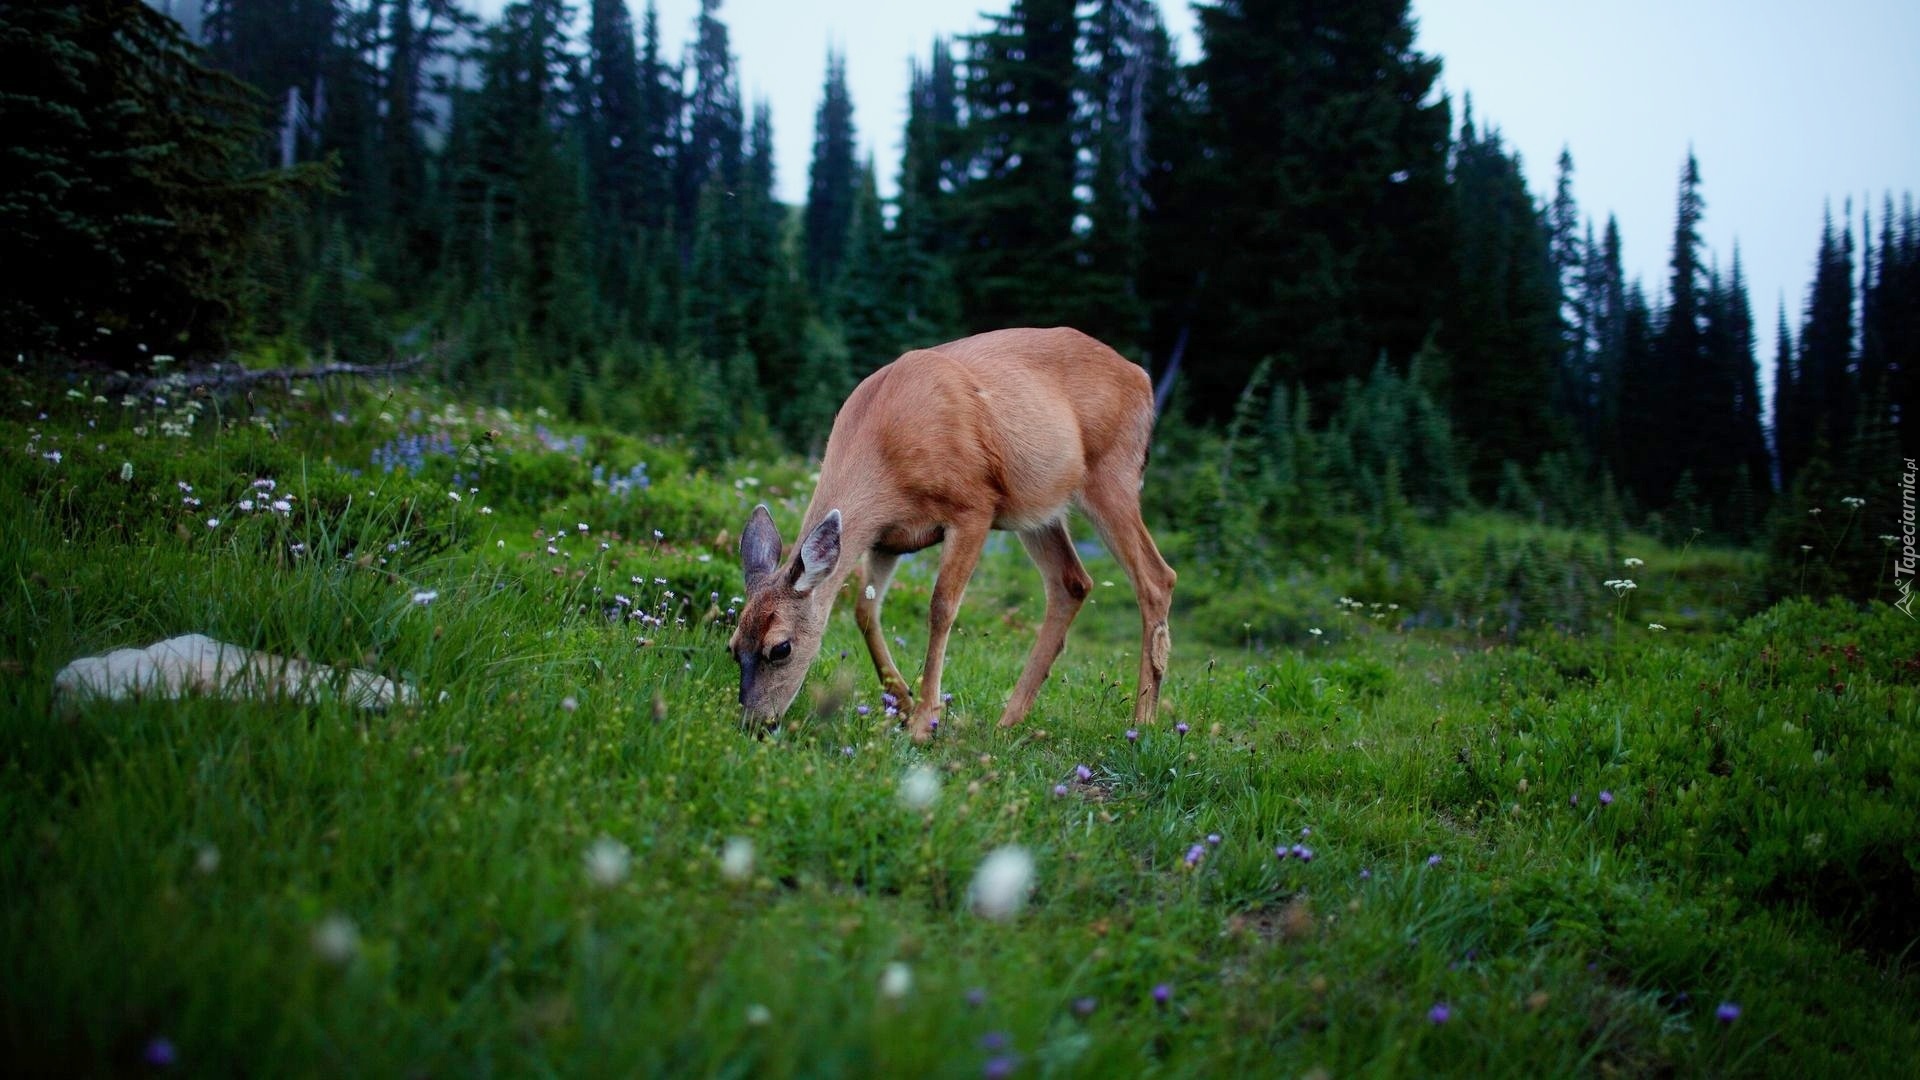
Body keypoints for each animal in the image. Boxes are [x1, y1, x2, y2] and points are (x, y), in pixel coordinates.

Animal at [729, 322, 1167, 734]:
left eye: (780, 648)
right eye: (733, 646)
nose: (753, 723)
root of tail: (1142, 377)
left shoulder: (973, 506)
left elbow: (941, 608)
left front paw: (925, 719)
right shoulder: (886, 539)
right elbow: (865, 610)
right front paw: (903, 701)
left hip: (1112, 473)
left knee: (1157, 578)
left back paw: (1143, 719)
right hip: (1038, 508)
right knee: (1072, 582)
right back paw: (1009, 719)